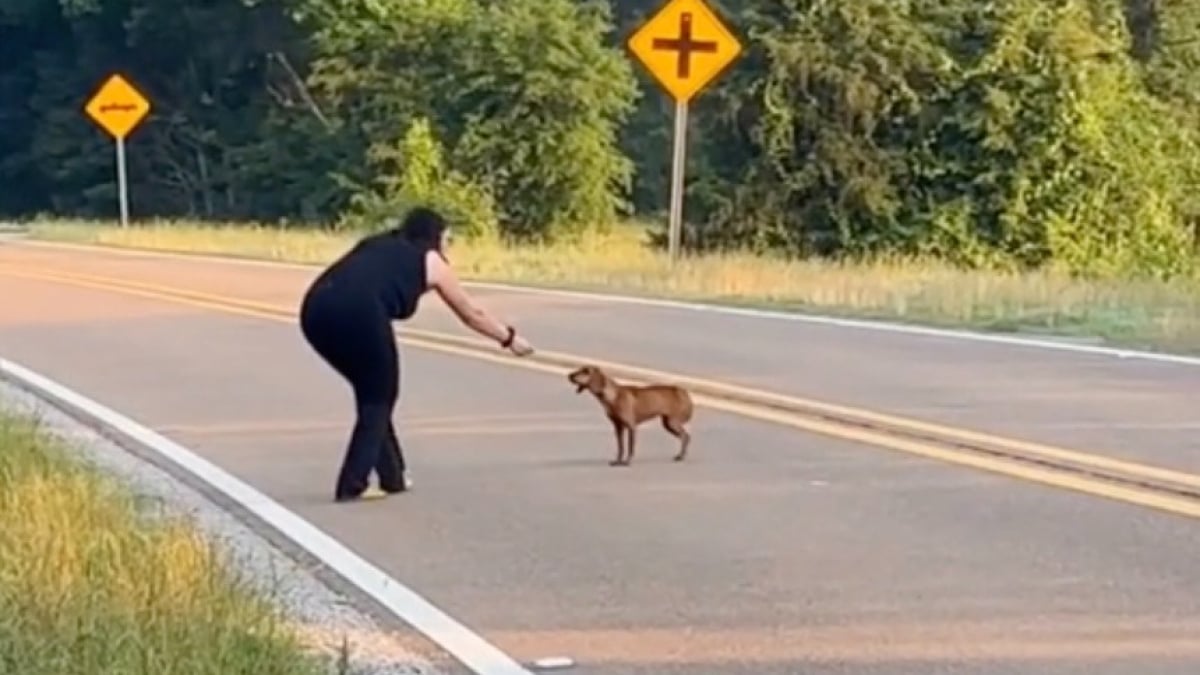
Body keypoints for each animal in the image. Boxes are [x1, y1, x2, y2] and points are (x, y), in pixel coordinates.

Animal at [568, 362, 696, 461]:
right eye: (579, 369)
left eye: (586, 371)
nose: (569, 375)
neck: (612, 396)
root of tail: (684, 391)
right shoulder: (618, 427)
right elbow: (621, 447)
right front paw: (618, 461)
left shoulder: (631, 426)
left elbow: (630, 447)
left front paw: (627, 461)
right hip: (668, 423)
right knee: (685, 437)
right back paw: (681, 455)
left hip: (672, 422)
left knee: (686, 436)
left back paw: (681, 456)